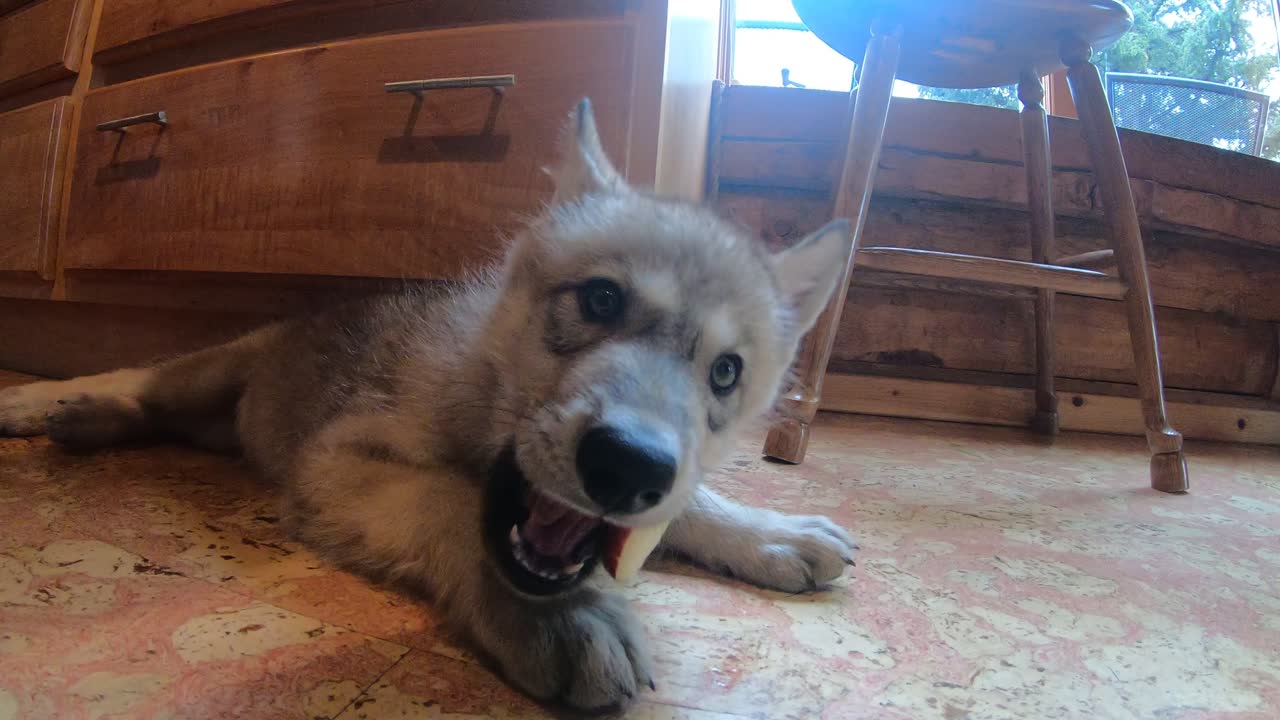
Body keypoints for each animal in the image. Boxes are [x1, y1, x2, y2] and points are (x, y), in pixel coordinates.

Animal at [0, 99, 857, 711]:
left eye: (725, 373)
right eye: (601, 299)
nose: (628, 468)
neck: (480, 396)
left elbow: (692, 499)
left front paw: (766, 531)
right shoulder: (338, 462)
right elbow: (449, 498)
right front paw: (560, 617)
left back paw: (82, 420)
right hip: (206, 370)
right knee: (140, 375)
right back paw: (51, 403)